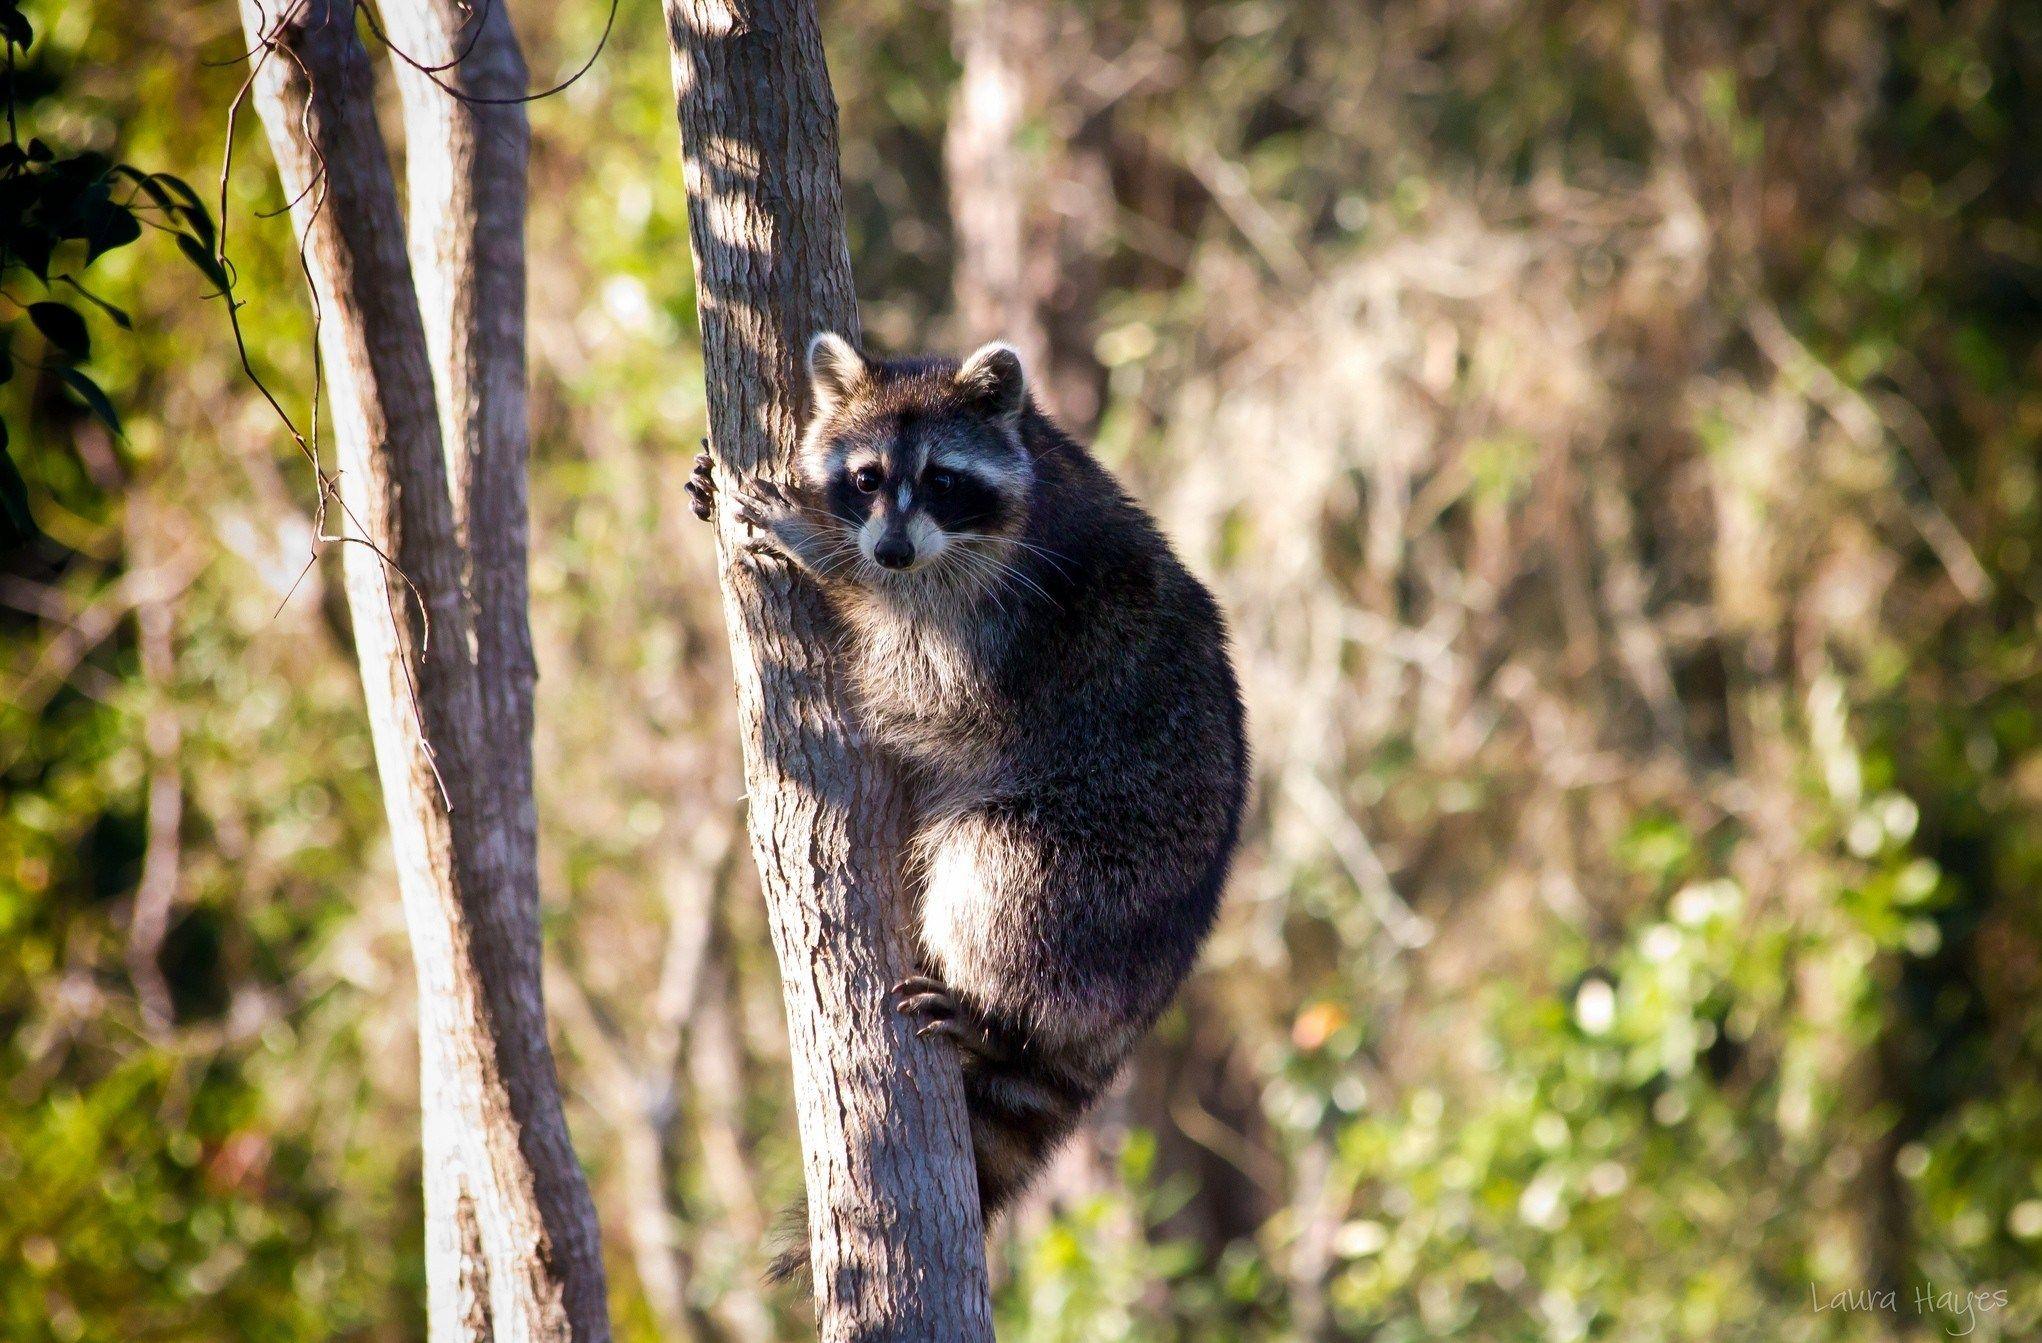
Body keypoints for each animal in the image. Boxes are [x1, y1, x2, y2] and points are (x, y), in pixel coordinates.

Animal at [687, 333, 1247, 1279]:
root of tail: (1156, 976)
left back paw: (996, 1019)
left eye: (944, 479)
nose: (890, 552)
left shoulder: (1009, 614)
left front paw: (827, 558)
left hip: (1102, 868)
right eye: (867, 477)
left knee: (997, 872)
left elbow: (924, 682)